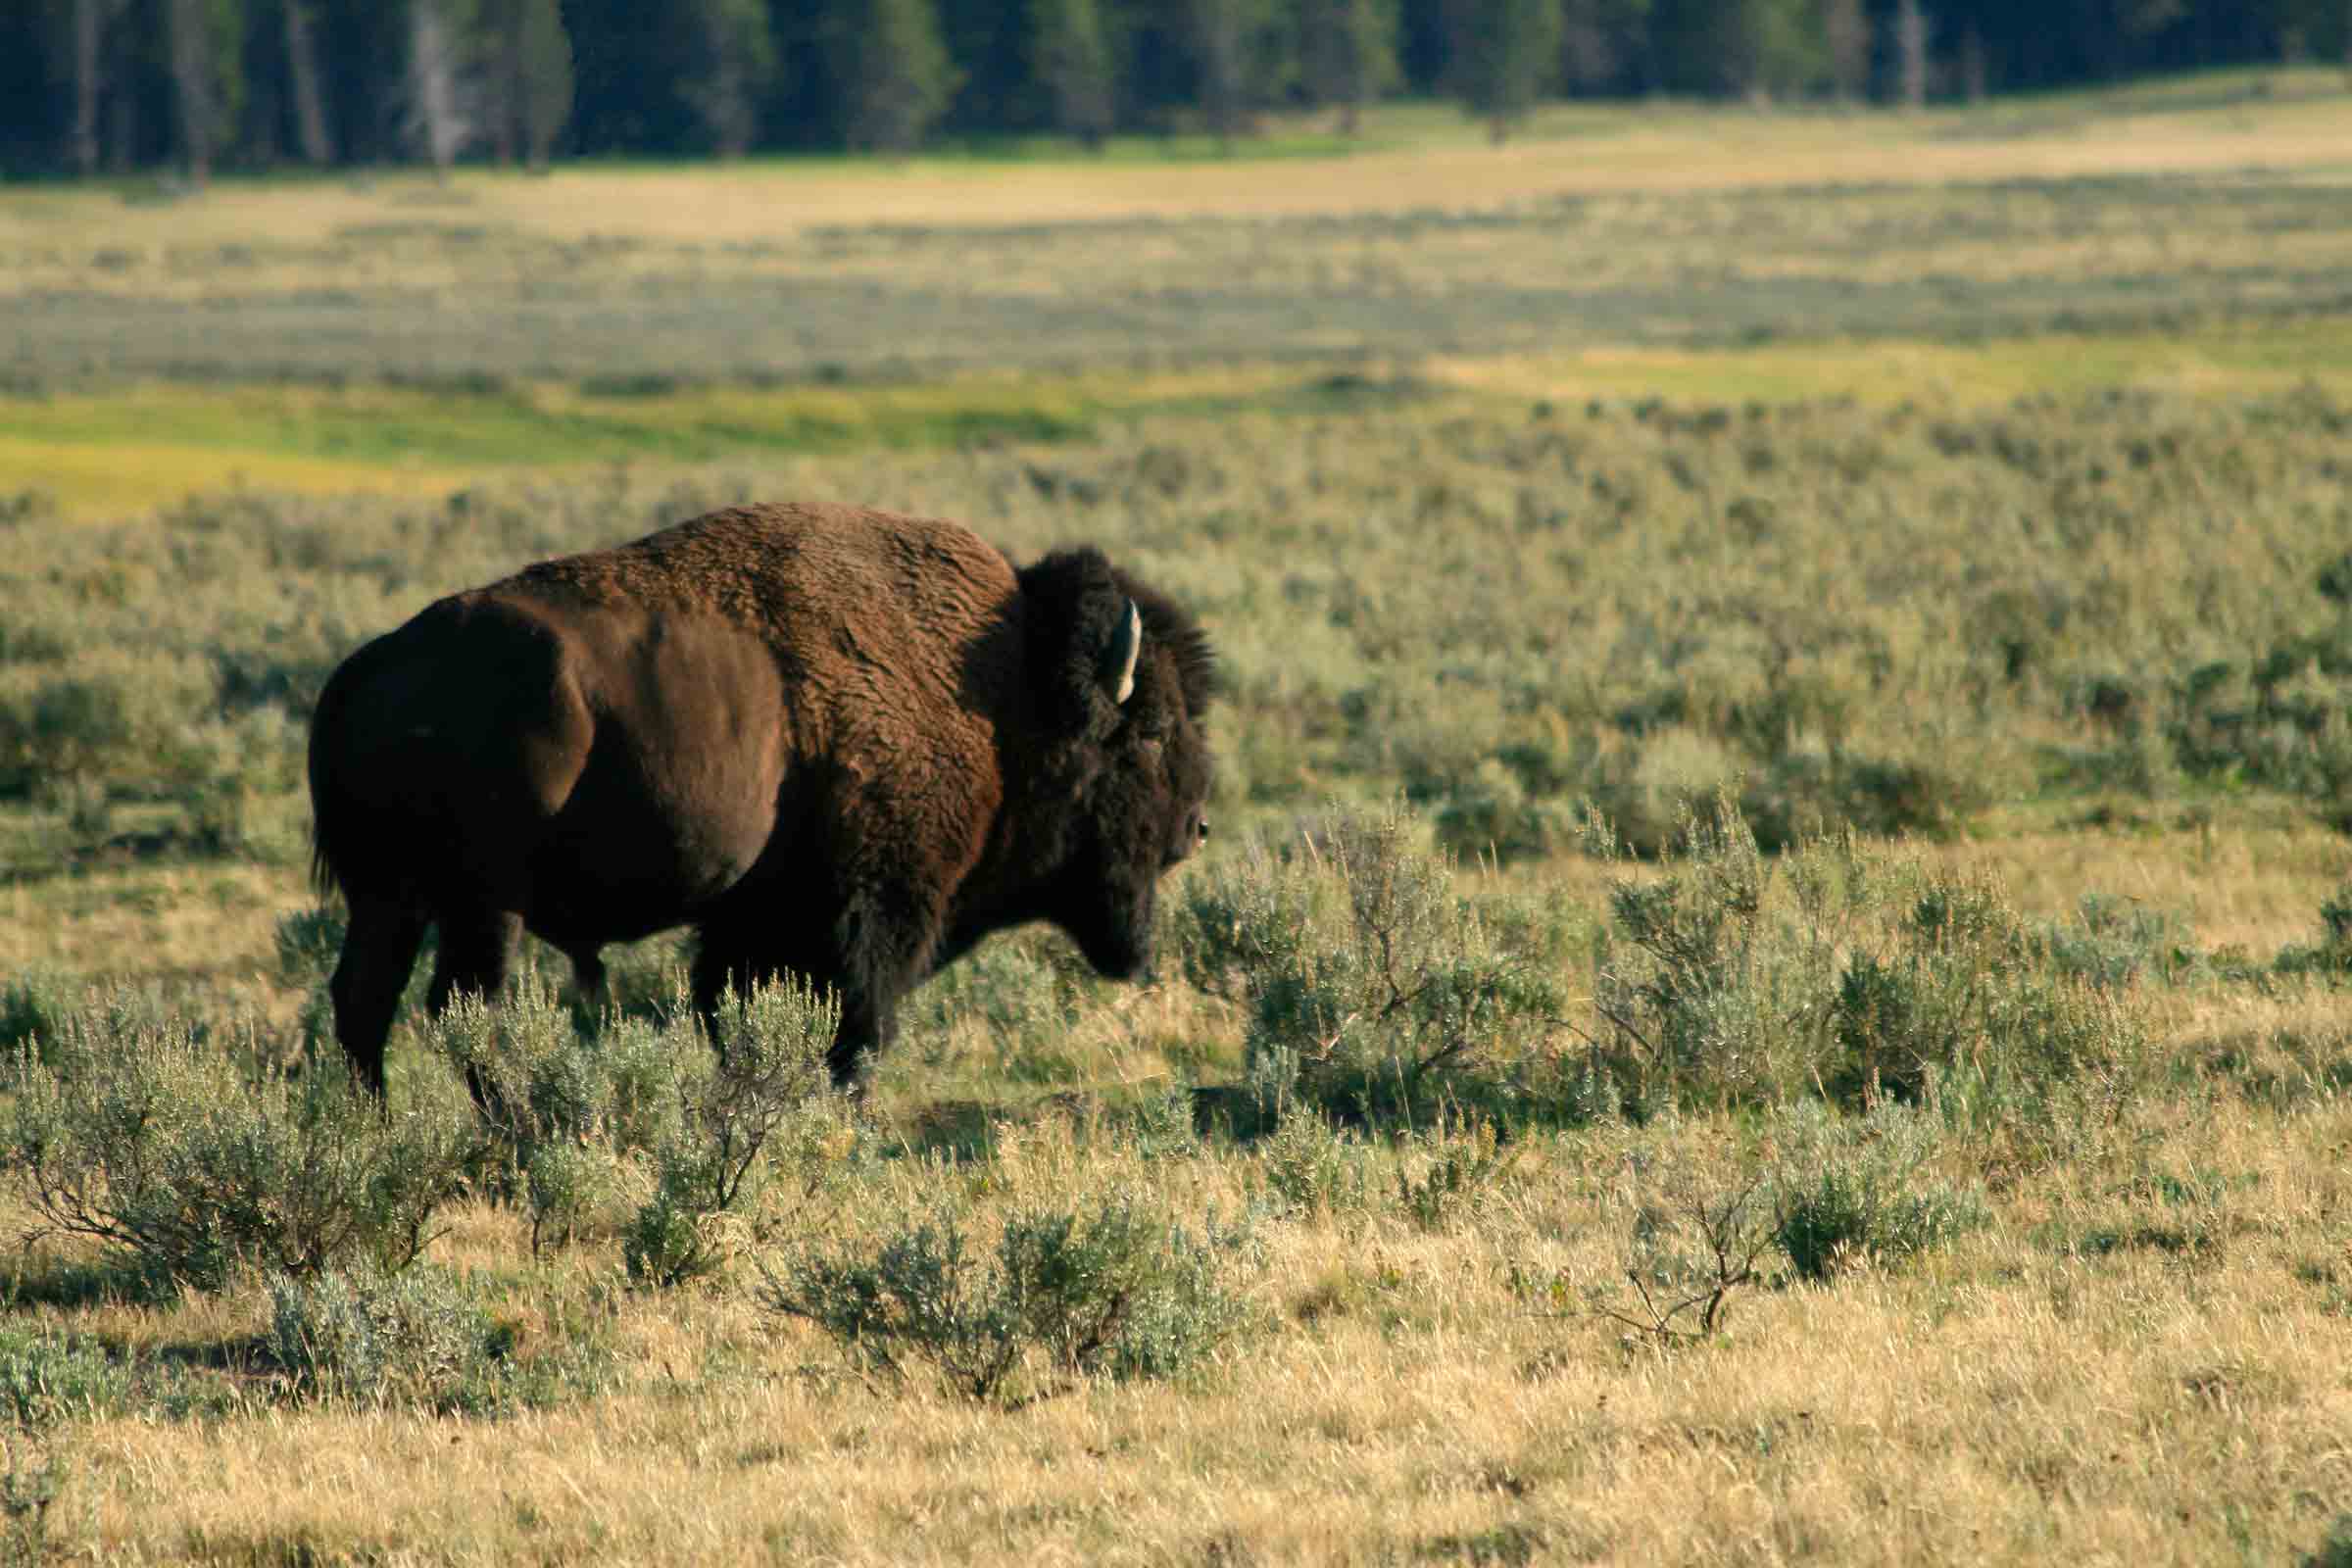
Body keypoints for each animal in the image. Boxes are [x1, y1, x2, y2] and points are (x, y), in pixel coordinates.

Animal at [308, 500, 1213, 1091]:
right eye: (1151, 733)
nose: (1197, 826)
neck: (1006, 693)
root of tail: (367, 671)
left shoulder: (751, 920)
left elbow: (731, 1015)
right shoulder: (870, 913)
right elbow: (855, 1032)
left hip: (390, 894)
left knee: (365, 1002)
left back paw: (371, 1130)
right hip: (486, 902)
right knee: (468, 1013)